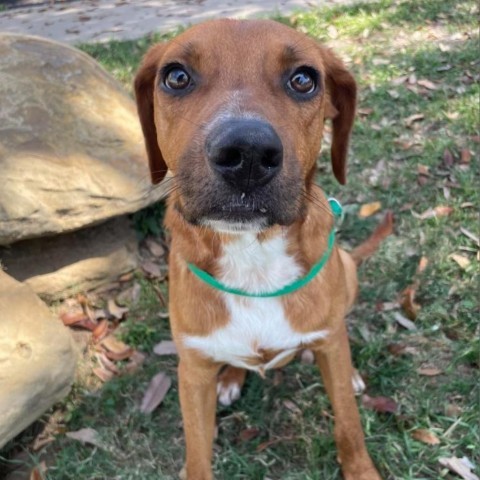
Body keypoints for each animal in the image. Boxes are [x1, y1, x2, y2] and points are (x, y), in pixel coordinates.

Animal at [134, 16, 390, 478]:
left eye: (304, 79)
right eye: (176, 76)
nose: (247, 152)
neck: (252, 255)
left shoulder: (329, 345)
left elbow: (348, 425)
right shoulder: (192, 372)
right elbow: (197, 455)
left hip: (345, 269)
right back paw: (232, 378)